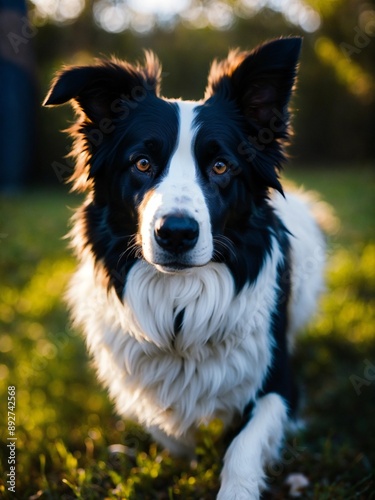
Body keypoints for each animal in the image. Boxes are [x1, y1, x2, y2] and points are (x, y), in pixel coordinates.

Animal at [44, 37, 326, 498]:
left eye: (221, 166)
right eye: (142, 163)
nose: (175, 233)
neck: (179, 299)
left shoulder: (278, 381)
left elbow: (245, 445)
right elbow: (165, 422)